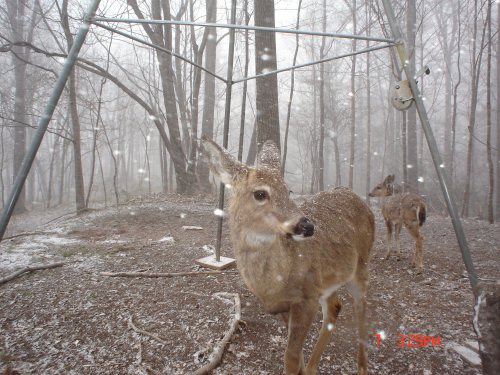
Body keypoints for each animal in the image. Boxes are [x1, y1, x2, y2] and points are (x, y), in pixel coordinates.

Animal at [201, 137, 374, 375]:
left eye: (288, 190)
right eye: (260, 193)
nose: (307, 226)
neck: (272, 284)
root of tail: (358, 197)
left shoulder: (307, 297)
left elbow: (290, 357)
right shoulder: (286, 304)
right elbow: (296, 355)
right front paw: (304, 368)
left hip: (362, 265)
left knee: (361, 307)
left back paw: (362, 367)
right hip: (328, 280)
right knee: (336, 306)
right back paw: (312, 368)